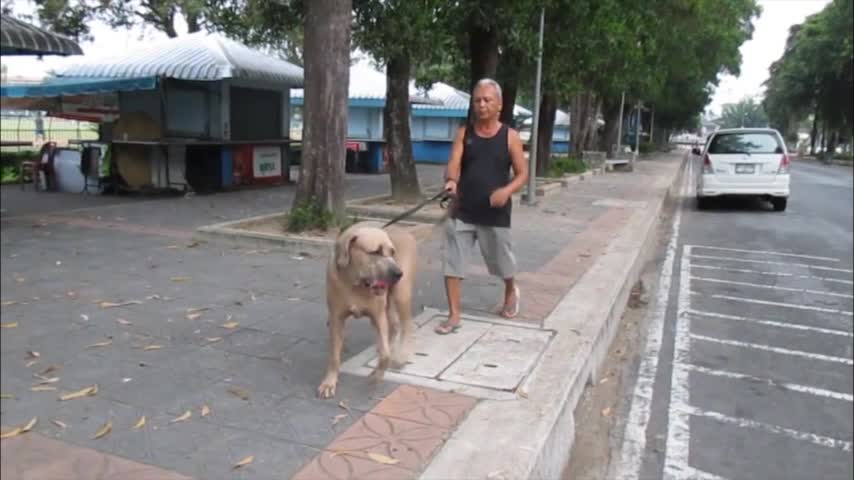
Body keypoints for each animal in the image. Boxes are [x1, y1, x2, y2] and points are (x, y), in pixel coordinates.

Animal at [318, 221, 418, 398]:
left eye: (392, 252)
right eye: (375, 252)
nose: (399, 273)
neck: (355, 284)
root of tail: (406, 230)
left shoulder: (378, 316)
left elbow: (386, 355)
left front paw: (377, 375)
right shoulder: (337, 317)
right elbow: (334, 354)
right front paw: (329, 382)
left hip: (401, 294)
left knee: (405, 324)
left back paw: (400, 356)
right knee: (394, 325)